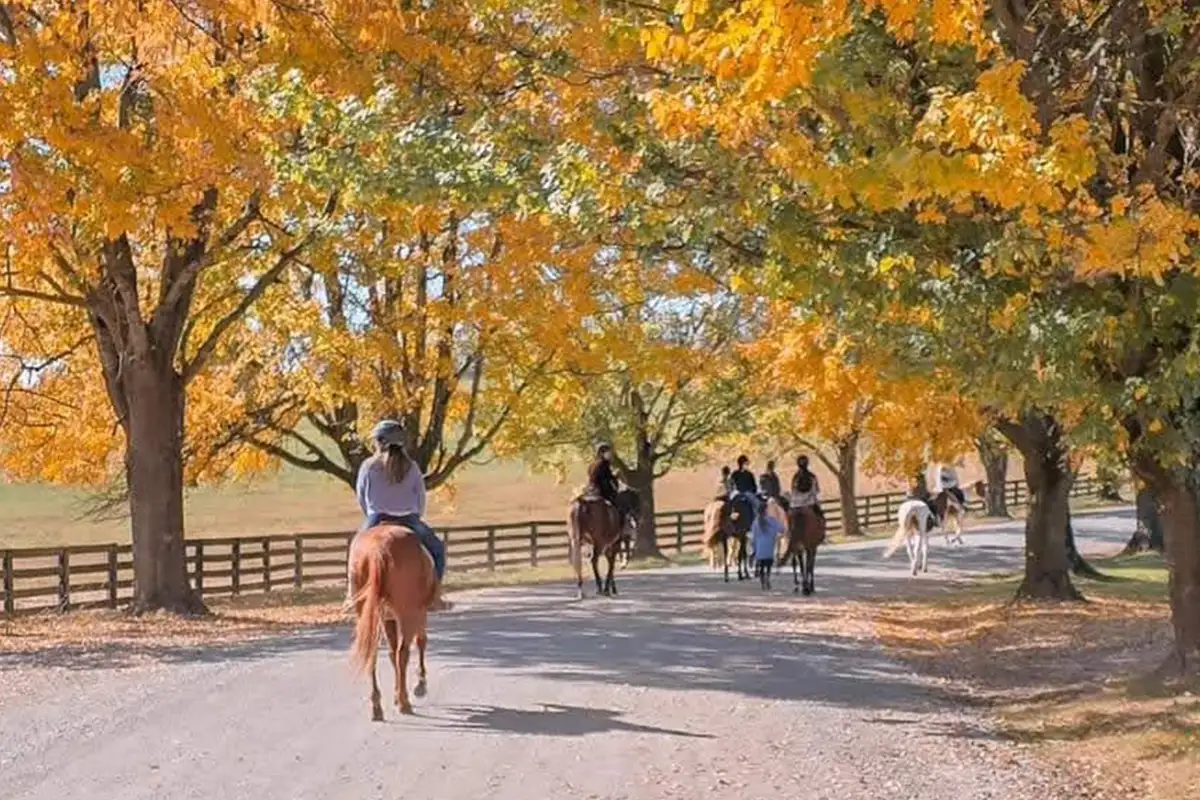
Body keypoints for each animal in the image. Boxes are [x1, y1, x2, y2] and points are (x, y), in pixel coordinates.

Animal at [349, 524, 434, 721]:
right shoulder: (419, 612)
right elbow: (420, 642)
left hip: (367, 614)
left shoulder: (387, 618)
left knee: (373, 654)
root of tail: (378, 549)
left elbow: (391, 652)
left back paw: (377, 707)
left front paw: (396, 694)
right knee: (403, 652)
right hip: (406, 613)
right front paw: (420, 684)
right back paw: (405, 703)